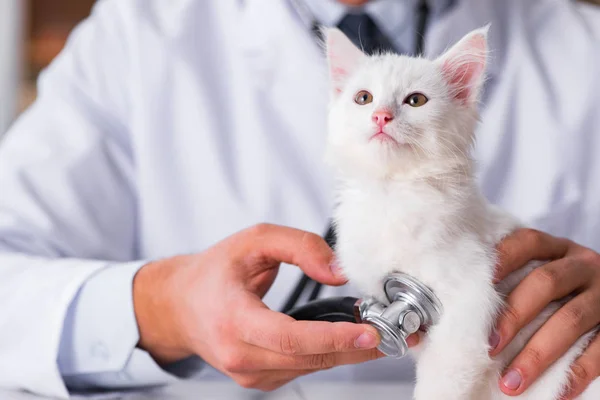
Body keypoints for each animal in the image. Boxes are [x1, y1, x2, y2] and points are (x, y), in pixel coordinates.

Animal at [324, 25, 600, 400]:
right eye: (363, 98)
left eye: (415, 101)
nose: (381, 116)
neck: (392, 194)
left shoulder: (466, 308)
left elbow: (442, 382)